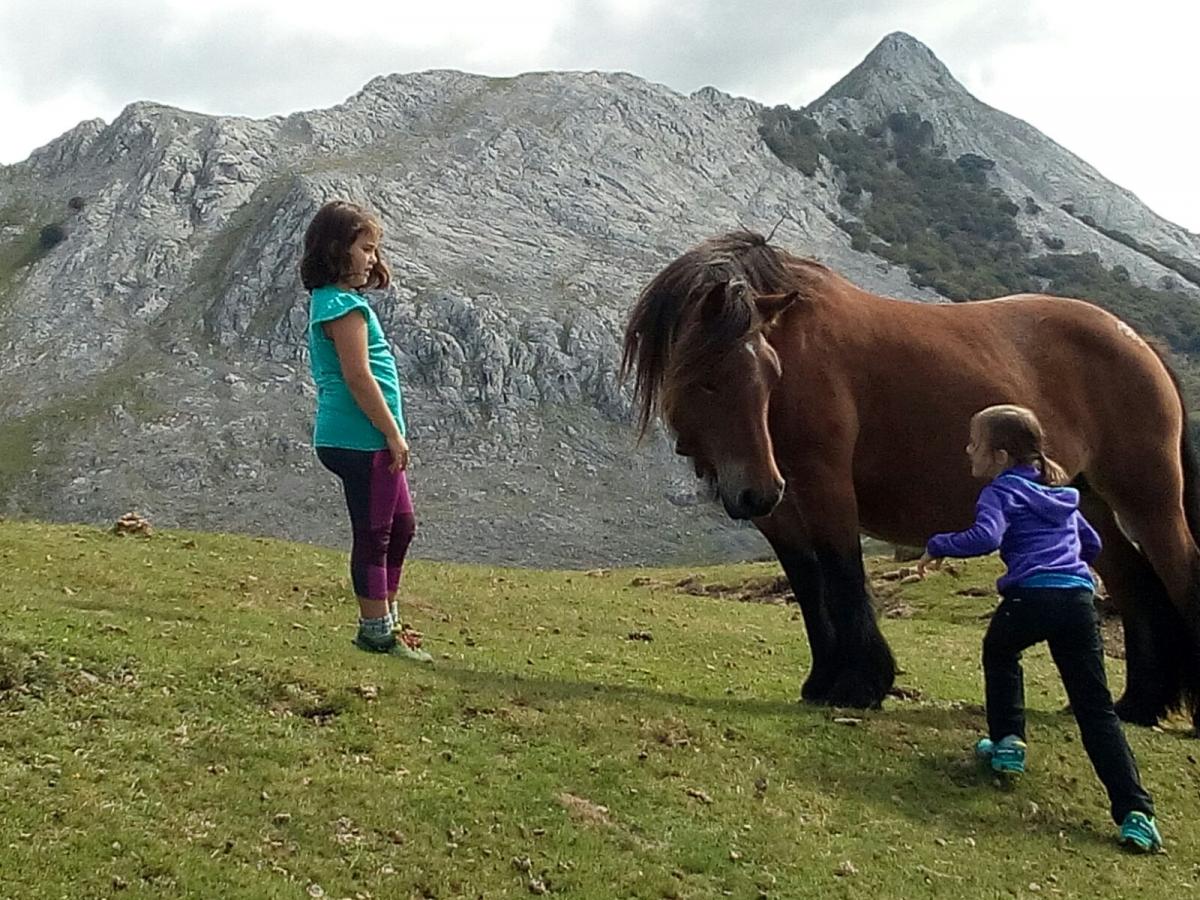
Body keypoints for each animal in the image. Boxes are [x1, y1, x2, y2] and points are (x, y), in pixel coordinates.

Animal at [619, 229, 1200, 729]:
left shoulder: (826, 486)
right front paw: (822, 680)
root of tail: (1140, 343)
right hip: (1085, 503)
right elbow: (807, 583)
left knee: (1180, 572)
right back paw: (1137, 705)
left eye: (770, 374)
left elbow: (842, 574)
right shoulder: (780, 511)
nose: (757, 490)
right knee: (1137, 588)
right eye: (708, 379)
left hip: (1149, 501)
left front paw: (859, 685)